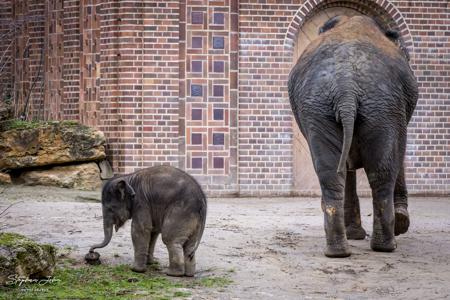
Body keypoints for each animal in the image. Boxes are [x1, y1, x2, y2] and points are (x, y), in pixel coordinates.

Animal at [288, 15, 418, 256]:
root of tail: (345, 86)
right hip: (382, 106)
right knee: (382, 170)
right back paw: (385, 244)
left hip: (327, 106)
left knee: (332, 171)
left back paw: (341, 251)